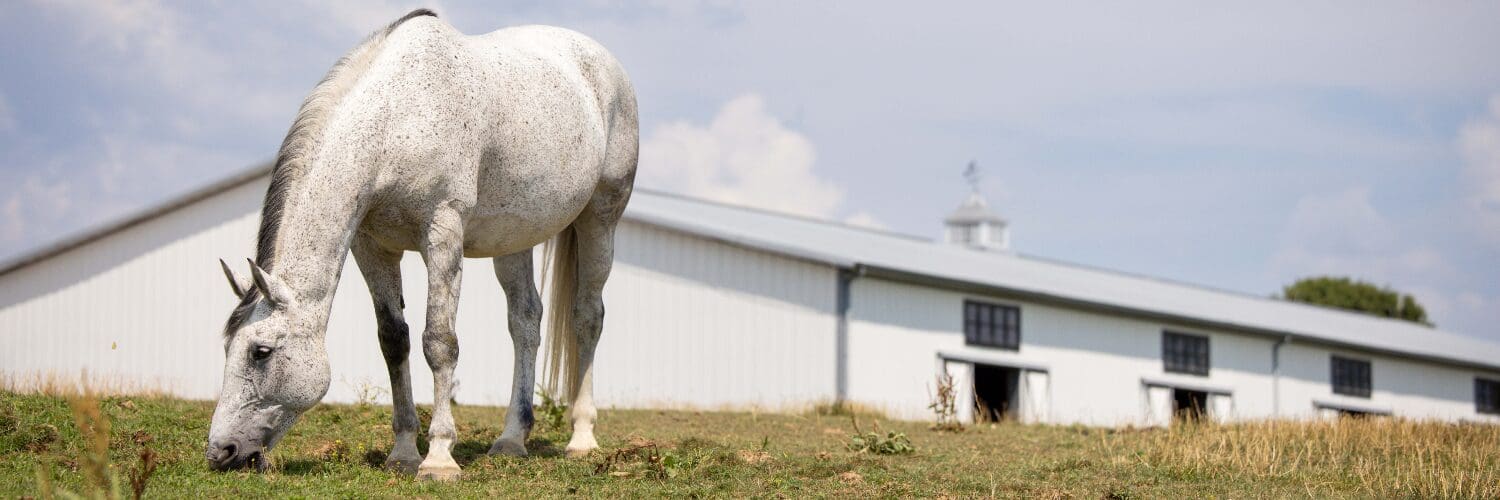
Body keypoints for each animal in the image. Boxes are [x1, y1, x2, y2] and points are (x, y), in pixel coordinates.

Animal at [205, 9, 637, 481]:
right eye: (227, 347)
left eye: (261, 352)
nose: (221, 452)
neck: (397, 117)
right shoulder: (372, 247)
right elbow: (394, 340)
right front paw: (404, 451)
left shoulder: (443, 233)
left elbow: (439, 342)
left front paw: (440, 457)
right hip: (513, 240)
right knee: (525, 322)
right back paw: (510, 440)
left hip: (601, 218)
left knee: (587, 317)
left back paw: (581, 439)